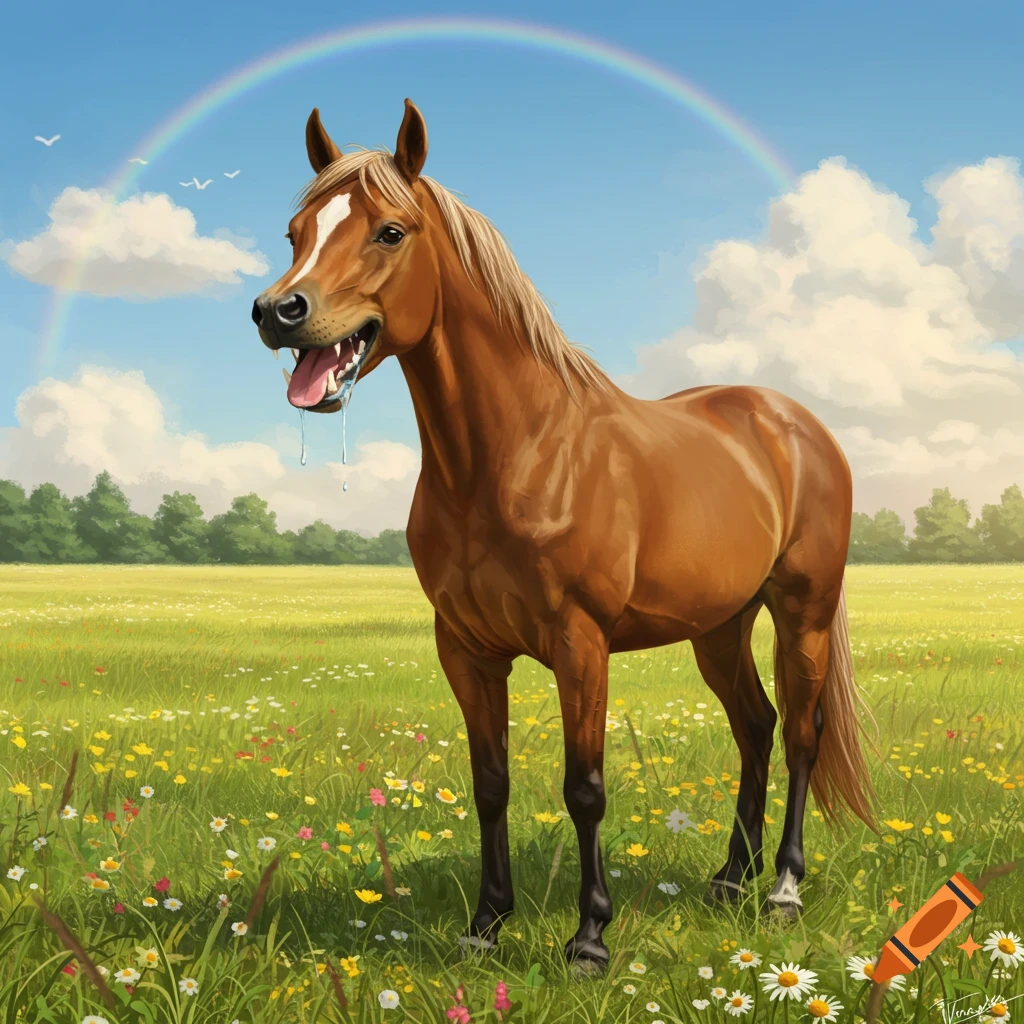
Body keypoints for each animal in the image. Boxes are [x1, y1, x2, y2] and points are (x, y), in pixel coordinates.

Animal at [251, 99, 878, 973]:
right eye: (295, 232)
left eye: (389, 231)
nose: (279, 314)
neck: (512, 455)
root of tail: (794, 423)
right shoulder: (467, 649)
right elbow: (490, 782)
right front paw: (485, 925)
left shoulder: (581, 645)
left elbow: (585, 788)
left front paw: (589, 940)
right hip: (719, 625)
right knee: (754, 726)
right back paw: (729, 880)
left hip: (803, 611)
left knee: (801, 734)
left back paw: (782, 889)